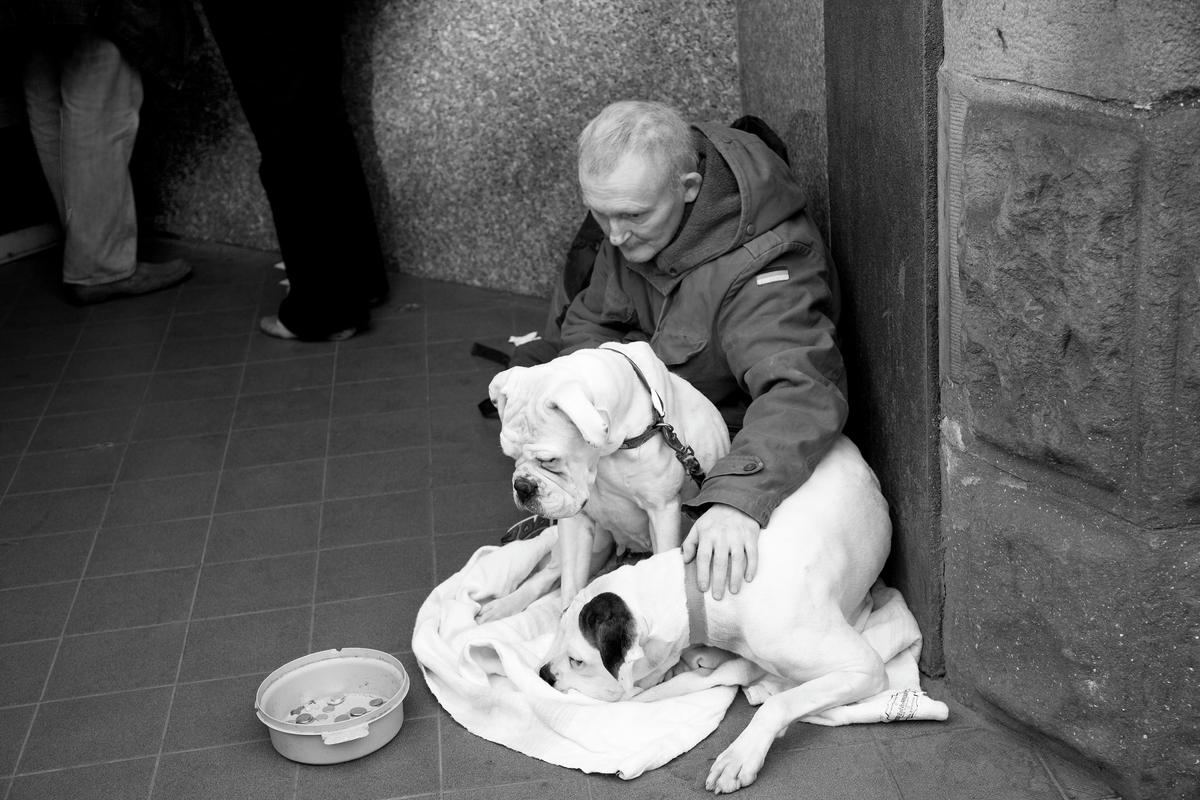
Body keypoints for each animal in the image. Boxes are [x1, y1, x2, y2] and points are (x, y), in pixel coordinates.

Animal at [472, 340, 724, 623]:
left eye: (550, 460)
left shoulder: (663, 513)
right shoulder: (575, 524)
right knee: (545, 577)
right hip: (595, 543)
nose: (523, 487)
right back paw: (504, 606)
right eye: (511, 456)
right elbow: (570, 586)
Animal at [540, 438, 940, 796]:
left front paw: (740, 756)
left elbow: (780, 702)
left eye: (577, 660)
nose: (544, 674)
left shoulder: (863, 667)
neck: (700, 592)